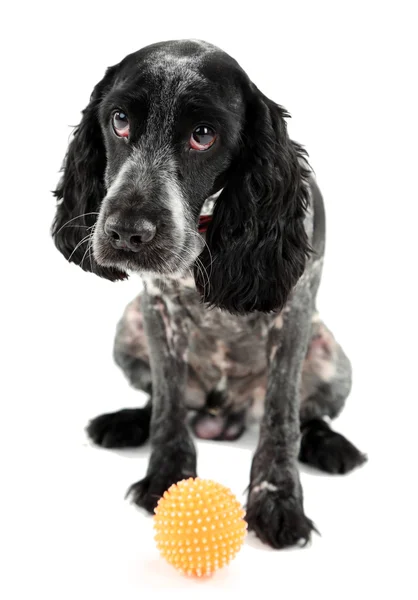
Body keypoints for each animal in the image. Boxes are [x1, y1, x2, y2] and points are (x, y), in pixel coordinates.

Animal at [51, 39, 366, 548]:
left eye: (204, 135)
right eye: (119, 120)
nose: (125, 233)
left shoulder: (295, 311)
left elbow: (282, 416)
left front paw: (278, 500)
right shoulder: (157, 306)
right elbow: (168, 404)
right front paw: (166, 480)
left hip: (332, 356)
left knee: (309, 415)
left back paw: (330, 446)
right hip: (129, 325)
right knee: (157, 399)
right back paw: (124, 421)